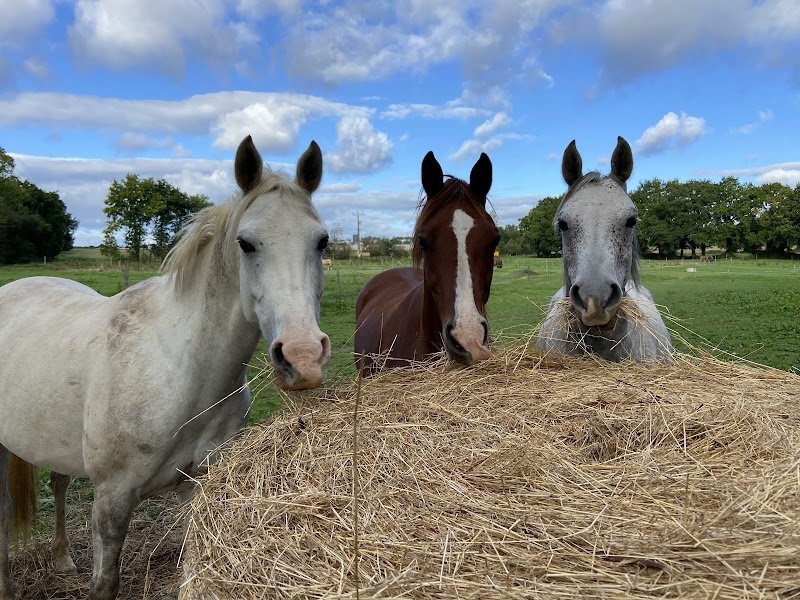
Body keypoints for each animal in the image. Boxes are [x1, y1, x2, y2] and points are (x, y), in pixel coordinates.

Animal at [0, 135, 331, 600]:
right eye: (246, 243)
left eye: (321, 242)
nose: (302, 357)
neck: (179, 369)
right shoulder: (112, 501)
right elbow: (105, 584)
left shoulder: (198, 486)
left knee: (59, 483)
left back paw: (63, 559)